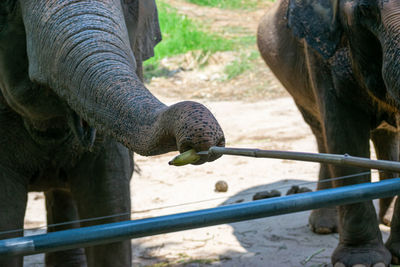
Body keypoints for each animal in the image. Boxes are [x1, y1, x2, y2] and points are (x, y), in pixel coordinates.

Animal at [258, 0, 400, 266]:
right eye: (366, 10)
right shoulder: (320, 55)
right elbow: (344, 135)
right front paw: (362, 262)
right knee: (323, 135)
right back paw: (325, 227)